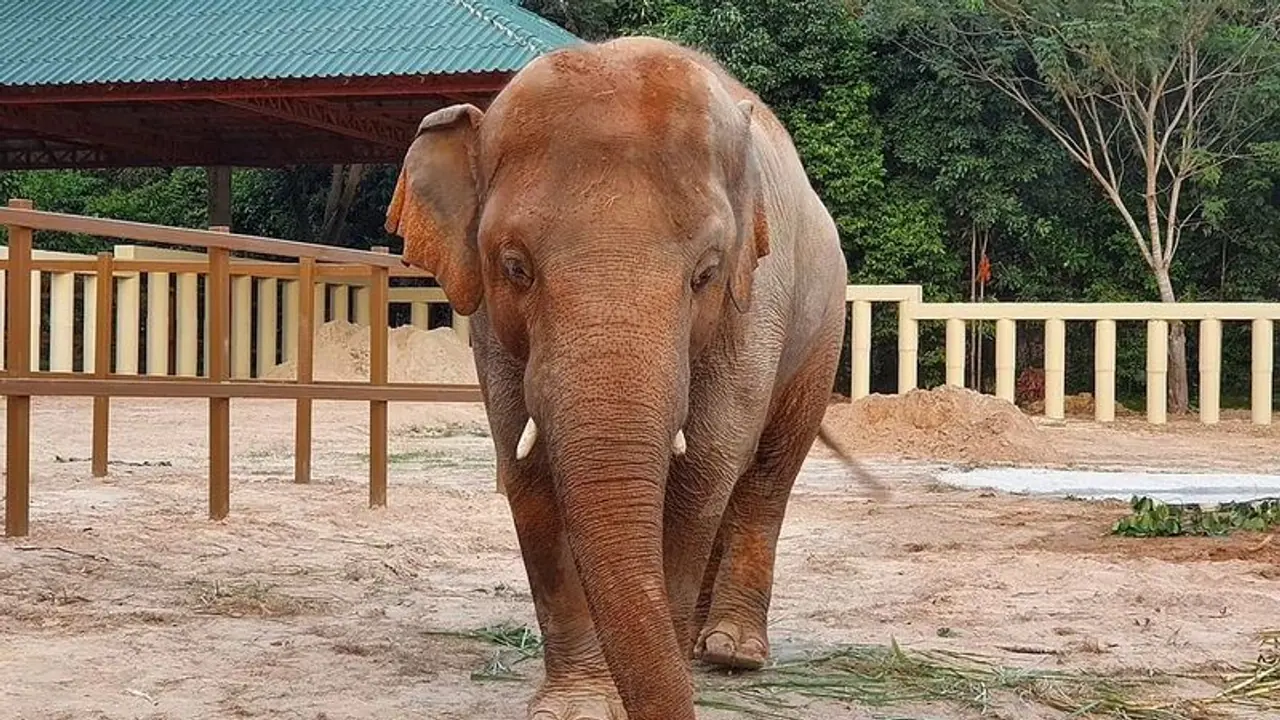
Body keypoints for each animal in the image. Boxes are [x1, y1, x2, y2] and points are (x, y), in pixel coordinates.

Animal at [384, 35, 866, 720]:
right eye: (514, 266)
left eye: (705, 273)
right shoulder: (488, 330)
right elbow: (527, 475)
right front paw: (581, 705)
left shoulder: (754, 303)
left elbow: (702, 470)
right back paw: (697, 647)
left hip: (821, 330)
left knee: (765, 475)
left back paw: (730, 652)